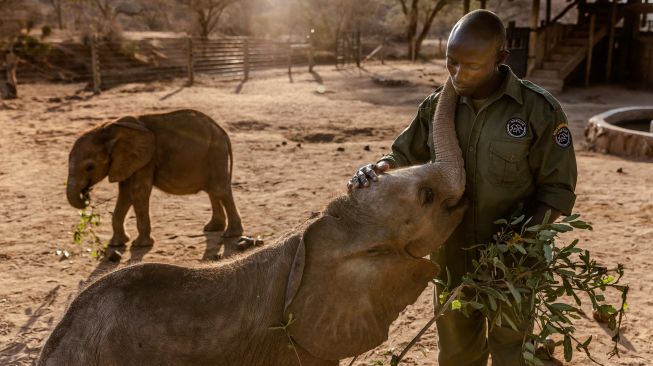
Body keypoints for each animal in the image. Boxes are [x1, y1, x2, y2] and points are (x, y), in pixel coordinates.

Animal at [65, 108, 242, 246]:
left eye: (89, 167)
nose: (87, 194)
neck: (108, 128)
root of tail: (222, 131)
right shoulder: (127, 161)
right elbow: (125, 194)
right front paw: (116, 244)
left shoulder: (146, 159)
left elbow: (137, 192)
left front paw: (139, 245)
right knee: (212, 189)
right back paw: (213, 228)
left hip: (216, 152)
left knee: (219, 189)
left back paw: (230, 234)